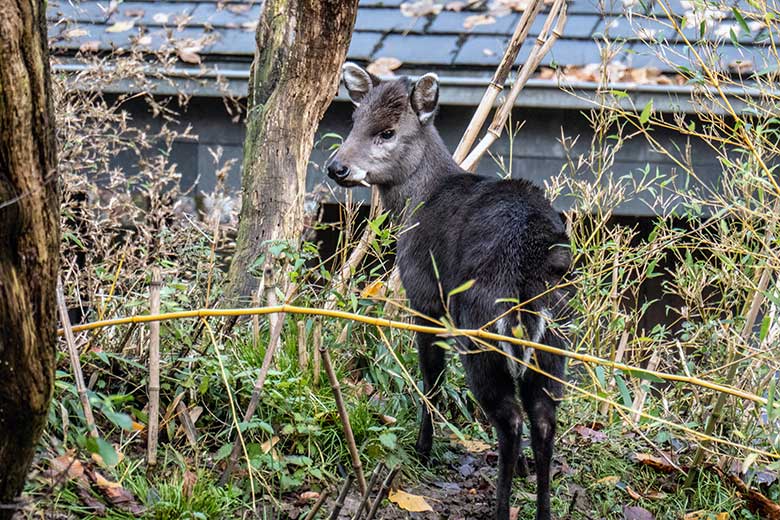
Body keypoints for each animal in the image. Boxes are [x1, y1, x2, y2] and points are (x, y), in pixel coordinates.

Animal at [326, 64, 568, 520]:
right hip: (554, 338)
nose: (337, 168)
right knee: (543, 418)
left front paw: (422, 447)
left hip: (481, 325)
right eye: (353, 120)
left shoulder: (424, 294)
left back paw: (499, 508)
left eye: (387, 132)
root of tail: (532, 259)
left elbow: (431, 375)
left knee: (510, 418)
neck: (418, 202)